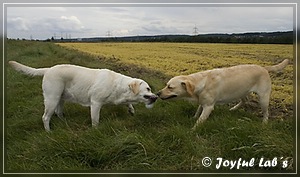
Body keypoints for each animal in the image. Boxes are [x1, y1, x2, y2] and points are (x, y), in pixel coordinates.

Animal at [8, 61, 158, 131]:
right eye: (148, 88)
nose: (156, 96)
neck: (118, 86)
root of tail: (48, 69)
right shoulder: (96, 103)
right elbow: (95, 120)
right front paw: (95, 130)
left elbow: (128, 103)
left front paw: (131, 110)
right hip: (52, 98)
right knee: (45, 117)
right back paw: (48, 131)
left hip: (60, 99)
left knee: (58, 112)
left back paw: (64, 121)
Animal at [158, 59, 290, 130]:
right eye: (166, 85)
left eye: (170, 87)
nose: (158, 93)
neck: (200, 82)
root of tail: (264, 68)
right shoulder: (203, 101)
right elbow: (198, 110)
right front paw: (194, 117)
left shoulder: (209, 107)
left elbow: (200, 120)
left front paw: (193, 129)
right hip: (241, 91)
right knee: (245, 100)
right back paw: (233, 108)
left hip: (263, 97)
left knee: (266, 112)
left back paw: (264, 123)